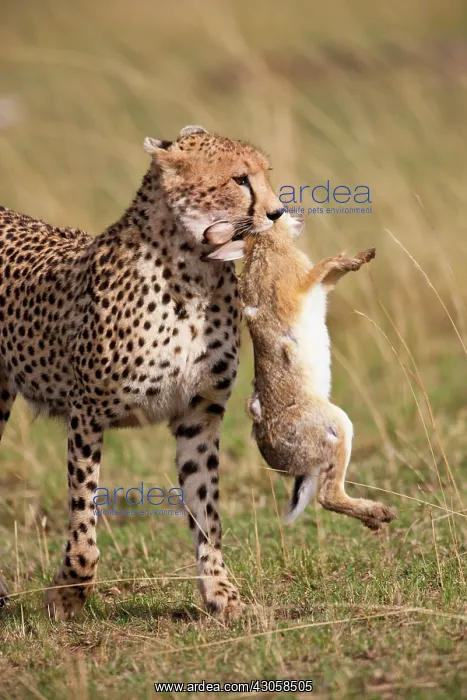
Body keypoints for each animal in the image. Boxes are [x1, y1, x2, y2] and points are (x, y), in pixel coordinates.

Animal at [0, 124, 284, 620]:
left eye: (264, 174)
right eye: (239, 179)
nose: (277, 212)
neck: (193, 271)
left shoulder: (199, 415)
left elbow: (206, 512)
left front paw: (221, 592)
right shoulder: (86, 413)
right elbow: (84, 513)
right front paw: (69, 593)